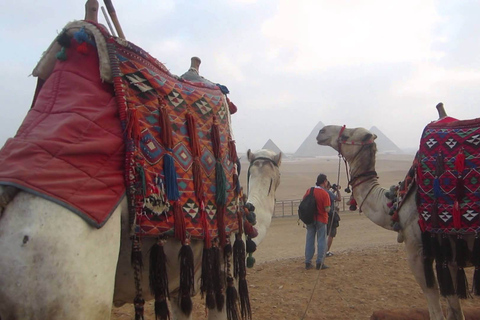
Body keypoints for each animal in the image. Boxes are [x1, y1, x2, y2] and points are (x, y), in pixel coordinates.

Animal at [318, 123, 476, 320]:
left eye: (346, 135)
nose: (321, 131)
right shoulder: (449, 256)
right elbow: (455, 308)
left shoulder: (418, 251)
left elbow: (436, 306)